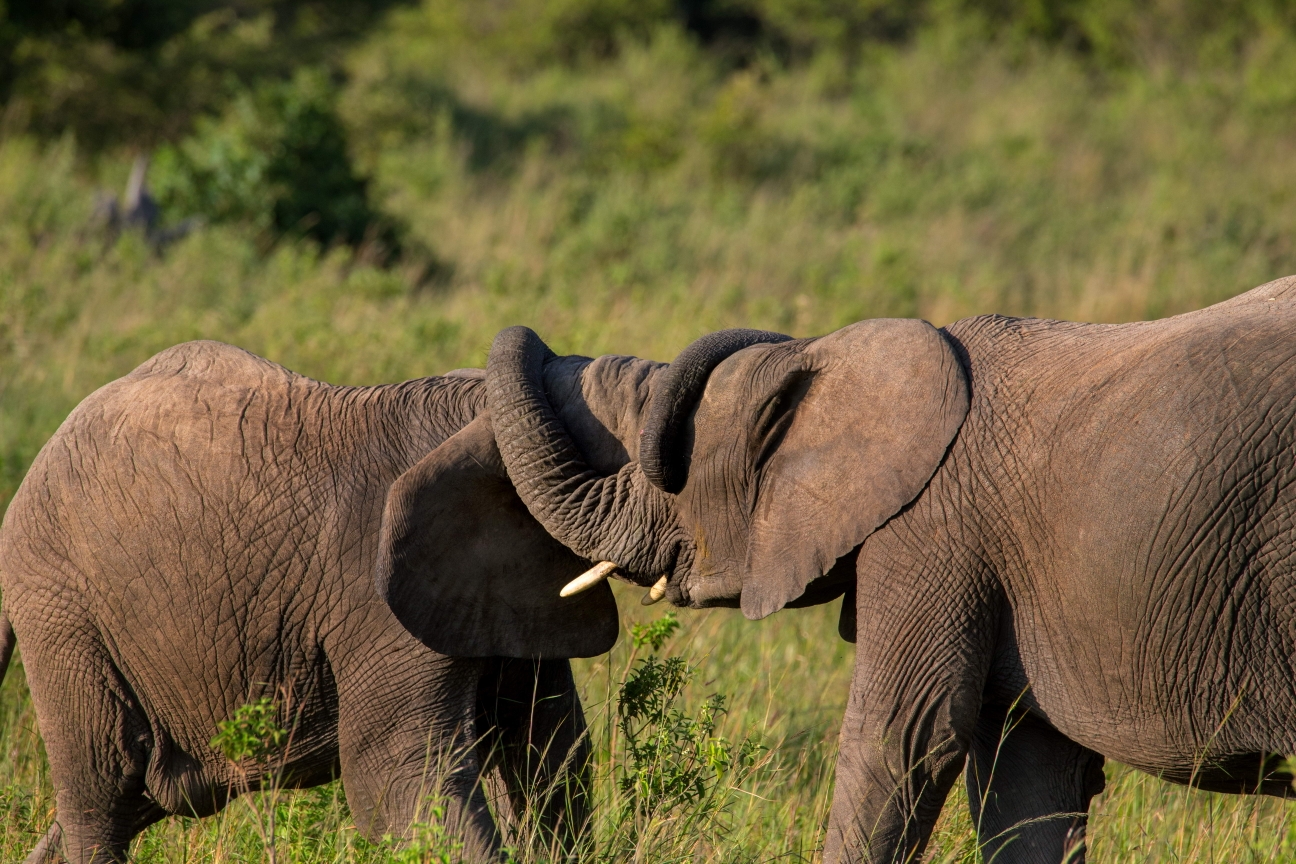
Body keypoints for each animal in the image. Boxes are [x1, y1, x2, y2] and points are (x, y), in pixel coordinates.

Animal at [0, 341, 622, 864]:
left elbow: (548, 748)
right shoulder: (379, 600)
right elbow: (398, 775)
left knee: (133, 796)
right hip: (62, 611)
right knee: (103, 790)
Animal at [461, 277, 1296, 864]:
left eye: (670, 470)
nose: (536, 340)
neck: (832, 356)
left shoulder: (931, 531)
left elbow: (905, 739)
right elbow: (1028, 776)